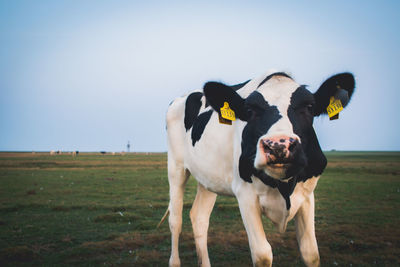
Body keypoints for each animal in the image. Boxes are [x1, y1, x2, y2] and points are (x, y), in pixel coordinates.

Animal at [164, 70, 354, 266]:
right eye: (250, 111)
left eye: (309, 107)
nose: (278, 145)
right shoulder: (245, 194)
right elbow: (262, 254)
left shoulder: (307, 194)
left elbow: (311, 252)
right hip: (176, 167)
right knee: (175, 220)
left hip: (208, 178)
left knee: (199, 217)